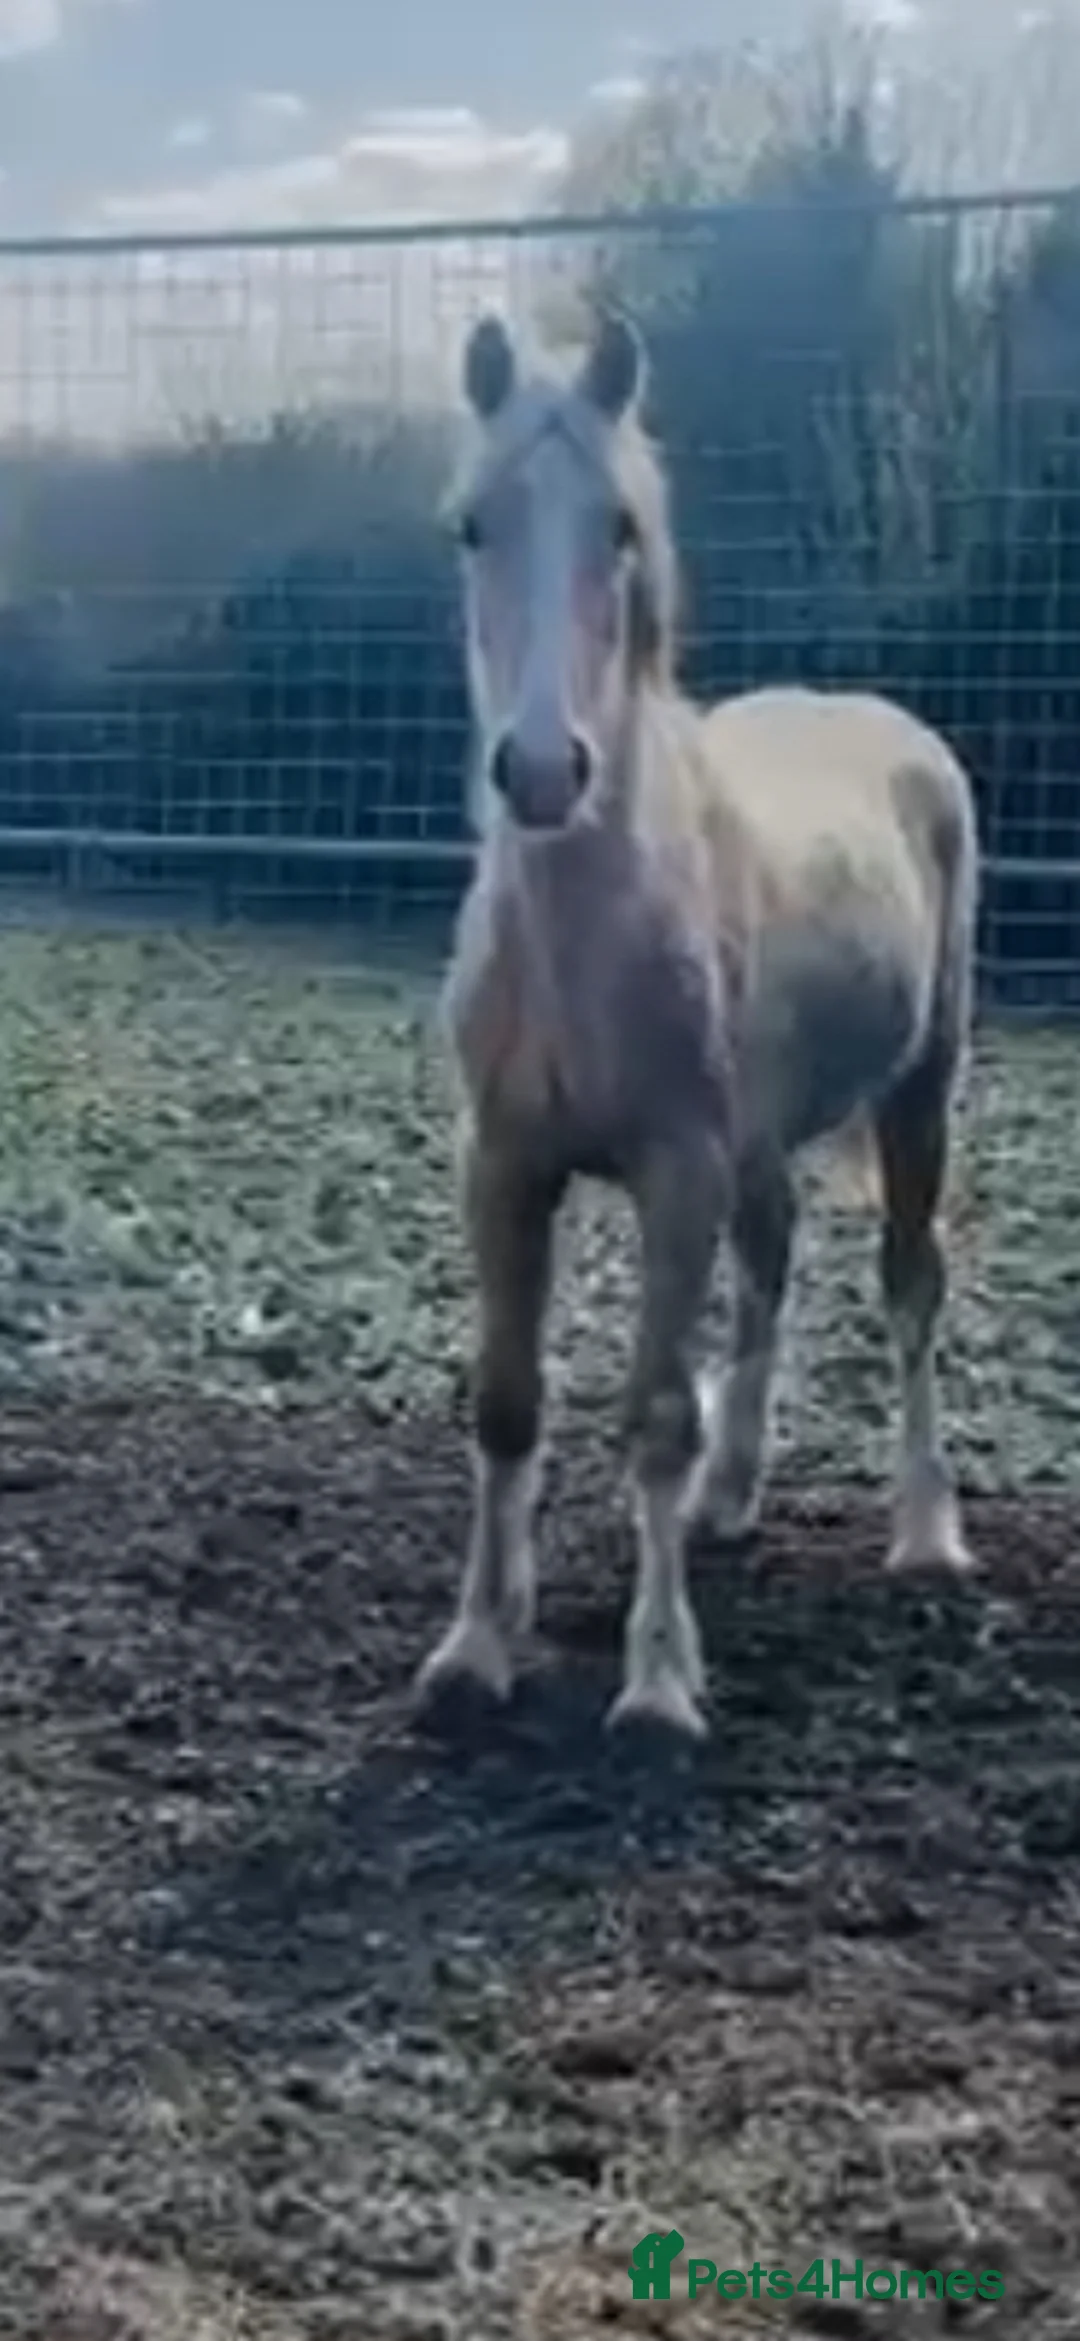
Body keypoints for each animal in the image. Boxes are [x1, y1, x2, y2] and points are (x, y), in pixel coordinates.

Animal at [413, 305, 979, 1744]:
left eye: (618, 525)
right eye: (472, 526)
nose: (541, 771)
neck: (585, 941)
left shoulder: (676, 1169)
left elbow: (656, 1413)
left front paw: (660, 1682)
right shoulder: (505, 1166)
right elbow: (507, 1401)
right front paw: (474, 1647)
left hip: (922, 1091)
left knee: (910, 1285)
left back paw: (925, 1534)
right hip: (763, 1141)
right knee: (771, 1268)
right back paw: (732, 1498)